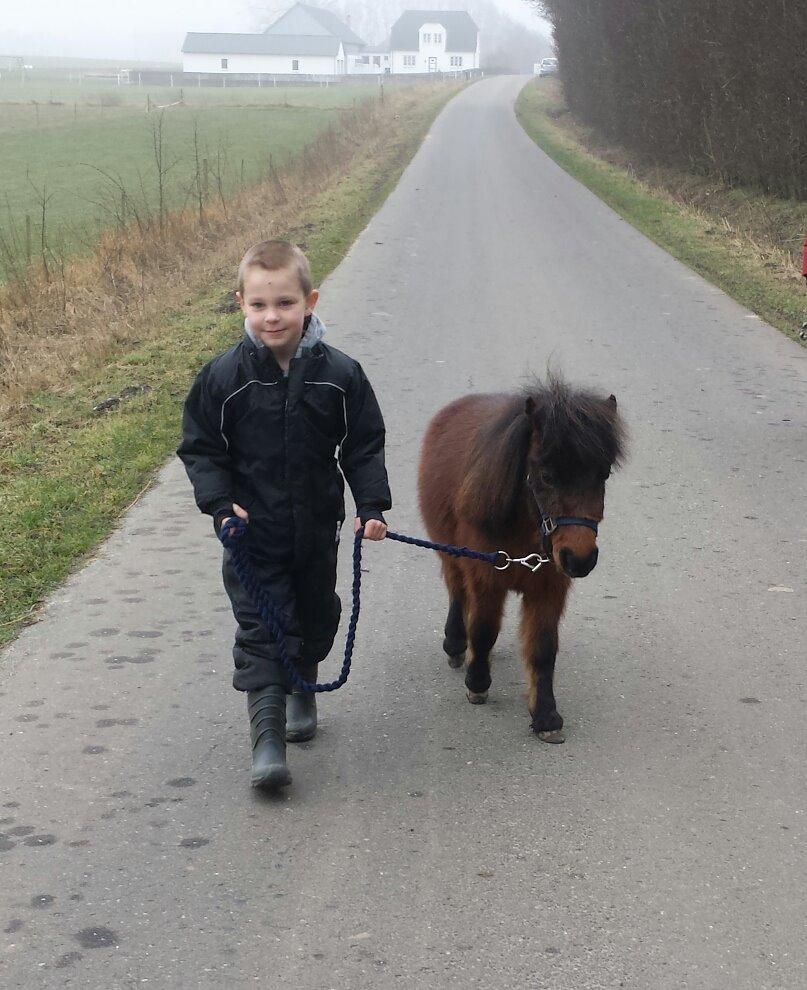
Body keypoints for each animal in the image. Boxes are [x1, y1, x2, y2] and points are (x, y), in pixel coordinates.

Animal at [417, 374, 626, 743]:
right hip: (450, 551)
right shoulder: (485, 576)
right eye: (546, 475)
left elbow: (542, 649)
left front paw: (545, 715)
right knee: (457, 591)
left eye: (603, 474)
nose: (580, 559)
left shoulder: (549, 586)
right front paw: (477, 683)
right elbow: (483, 629)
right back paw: (456, 644)